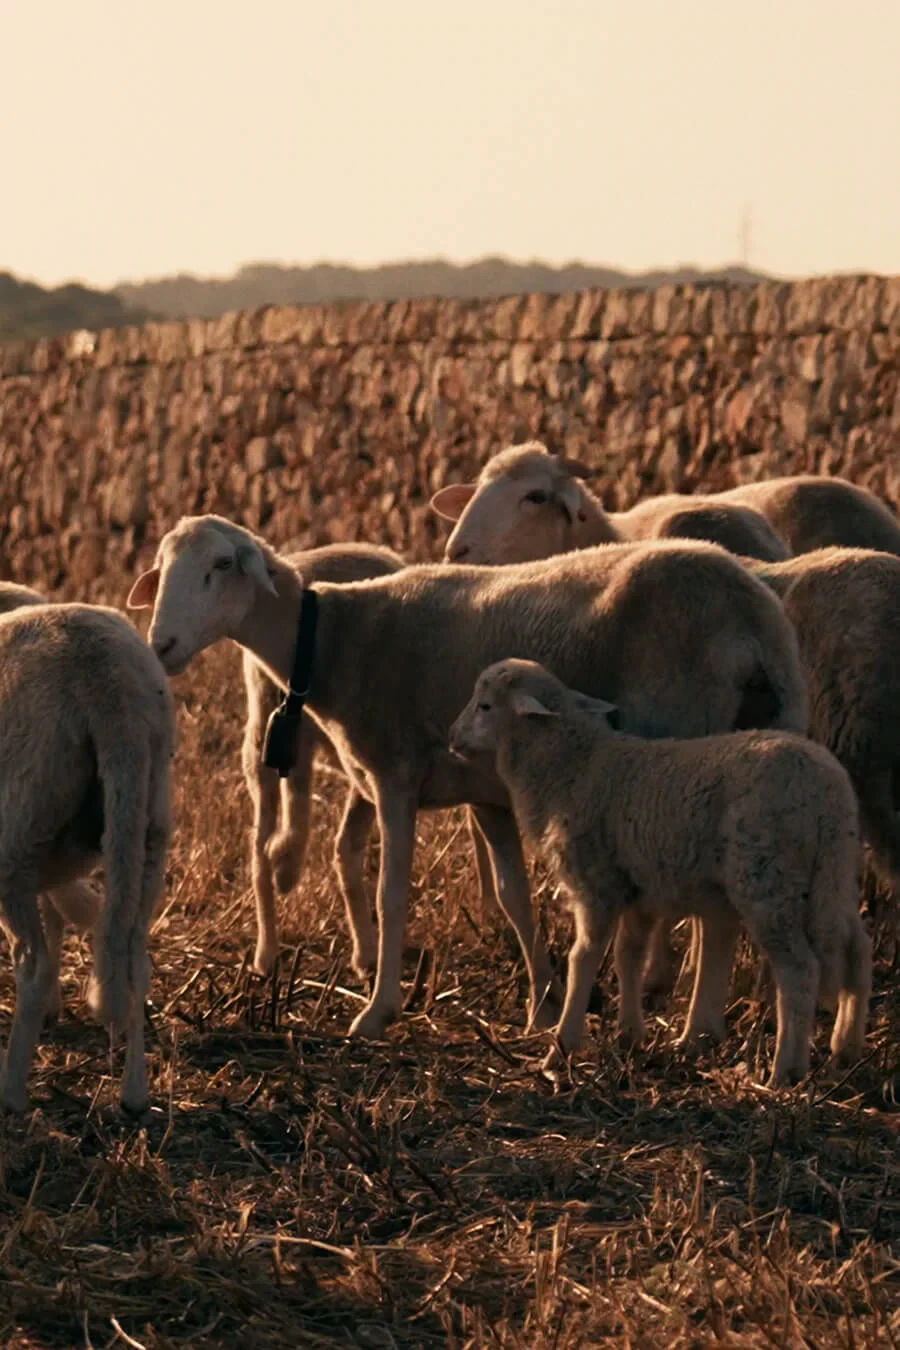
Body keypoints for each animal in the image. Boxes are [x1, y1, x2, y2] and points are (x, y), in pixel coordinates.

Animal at [0, 602, 174, 1113]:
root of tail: (110, 688)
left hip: (19, 826)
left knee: (32, 965)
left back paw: (11, 1093)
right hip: (147, 822)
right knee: (135, 961)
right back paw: (135, 1095)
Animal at [128, 514, 806, 1041]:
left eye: (222, 563)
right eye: (162, 567)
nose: (160, 645)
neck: (334, 640)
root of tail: (754, 617)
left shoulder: (395, 777)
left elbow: (391, 893)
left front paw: (377, 1011)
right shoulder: (488, 796)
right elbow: (513, 897)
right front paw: (543, 1005)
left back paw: (694, 1023)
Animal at [449, 658, 871, 1087]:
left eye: (484, 706)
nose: (452, 739)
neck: (572, 764)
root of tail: (826, 793)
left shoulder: (595, 884)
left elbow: (583, 958)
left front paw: (561, 1048)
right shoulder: (638, 891)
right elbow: (628, 956)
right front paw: (629, 1035)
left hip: (768, 880)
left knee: (799, 969)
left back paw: (785, 1071)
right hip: (832, 875)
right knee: (857, 948)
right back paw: (846, 1047)